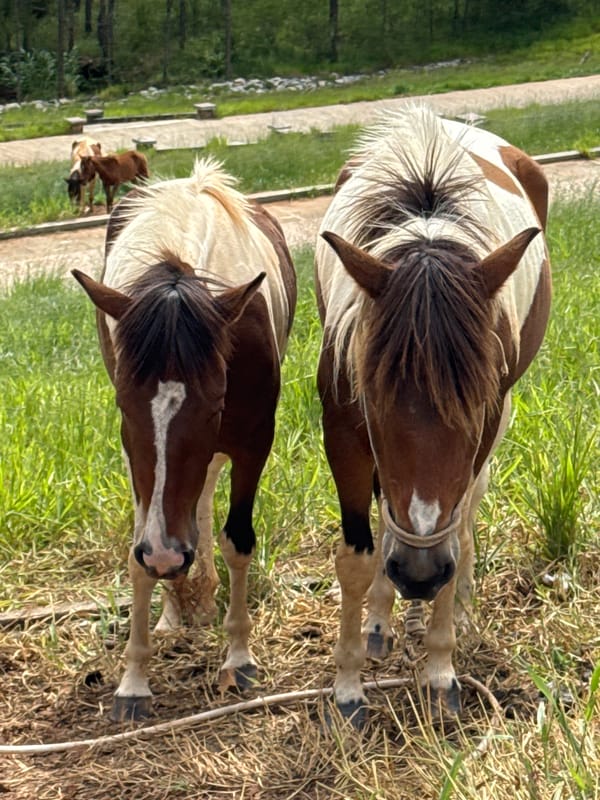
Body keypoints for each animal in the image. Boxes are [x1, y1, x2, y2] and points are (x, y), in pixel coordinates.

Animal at [72, 158, 296, 721]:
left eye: (215, 404)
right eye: (122, 406)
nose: (167, 556)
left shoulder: (253, 441)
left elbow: (238, 540)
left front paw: (238, 658)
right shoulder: (135, 452)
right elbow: (138, 551)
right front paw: (133, 681)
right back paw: (175, 603)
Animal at [314, 105, 551, 725]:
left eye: (477, 401)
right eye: (371, 399)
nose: (418, 576)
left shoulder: (485, 429)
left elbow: (456, 531)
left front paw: (442, 669)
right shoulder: (344, 431)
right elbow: (356, 554)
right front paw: (348, 684)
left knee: (464, 524)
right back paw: (382, 616)